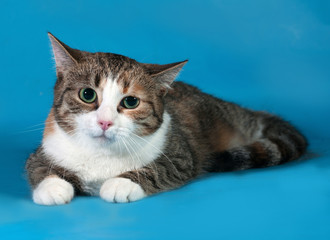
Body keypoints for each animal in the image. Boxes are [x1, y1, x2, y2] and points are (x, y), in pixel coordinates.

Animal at [25, 32, 306, 205]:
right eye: (87, 94)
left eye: (130, 102)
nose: (105, 122)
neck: (100, 156)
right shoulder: (42, 152)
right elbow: (40, 167)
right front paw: (53, 187)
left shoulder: (181, 155)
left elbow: (159, 168)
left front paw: (121, 184)